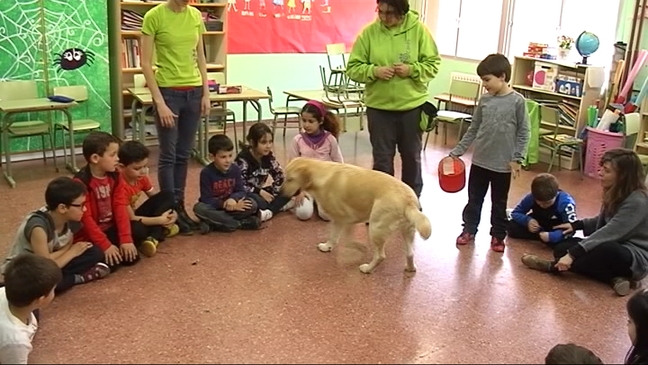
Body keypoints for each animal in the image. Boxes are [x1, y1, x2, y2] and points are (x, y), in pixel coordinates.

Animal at [280, 156, 432, 272]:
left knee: (381, 256)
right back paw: (410, 268)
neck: (321, 175)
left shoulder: (342, 219)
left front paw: (334, 246)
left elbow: (338, 238)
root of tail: (408, 201)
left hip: (375, 228)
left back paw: (367, 269)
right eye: (285, 177)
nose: (280, 193)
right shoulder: (348, 220)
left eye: (290, 179)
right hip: (407, 231)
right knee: (410, 253)